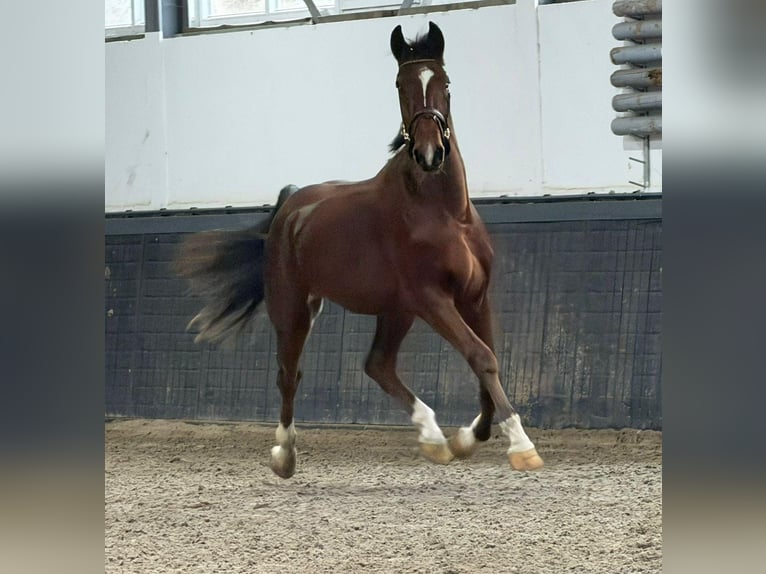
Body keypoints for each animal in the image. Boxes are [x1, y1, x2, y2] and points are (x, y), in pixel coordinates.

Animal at [175, 21, 543, 478]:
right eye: (401, 85)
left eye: (445, 82)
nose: (429, 154)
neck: (444, 211)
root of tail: (291, 205)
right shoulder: (433, 299)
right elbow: (481, 356)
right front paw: (521, 445)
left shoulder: (474, 296)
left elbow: (487, 362)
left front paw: (467, 438)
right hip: (295, 308)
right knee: (289, 374)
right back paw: (284, 455)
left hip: (395, 310)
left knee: (377, 364)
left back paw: (433, 438)